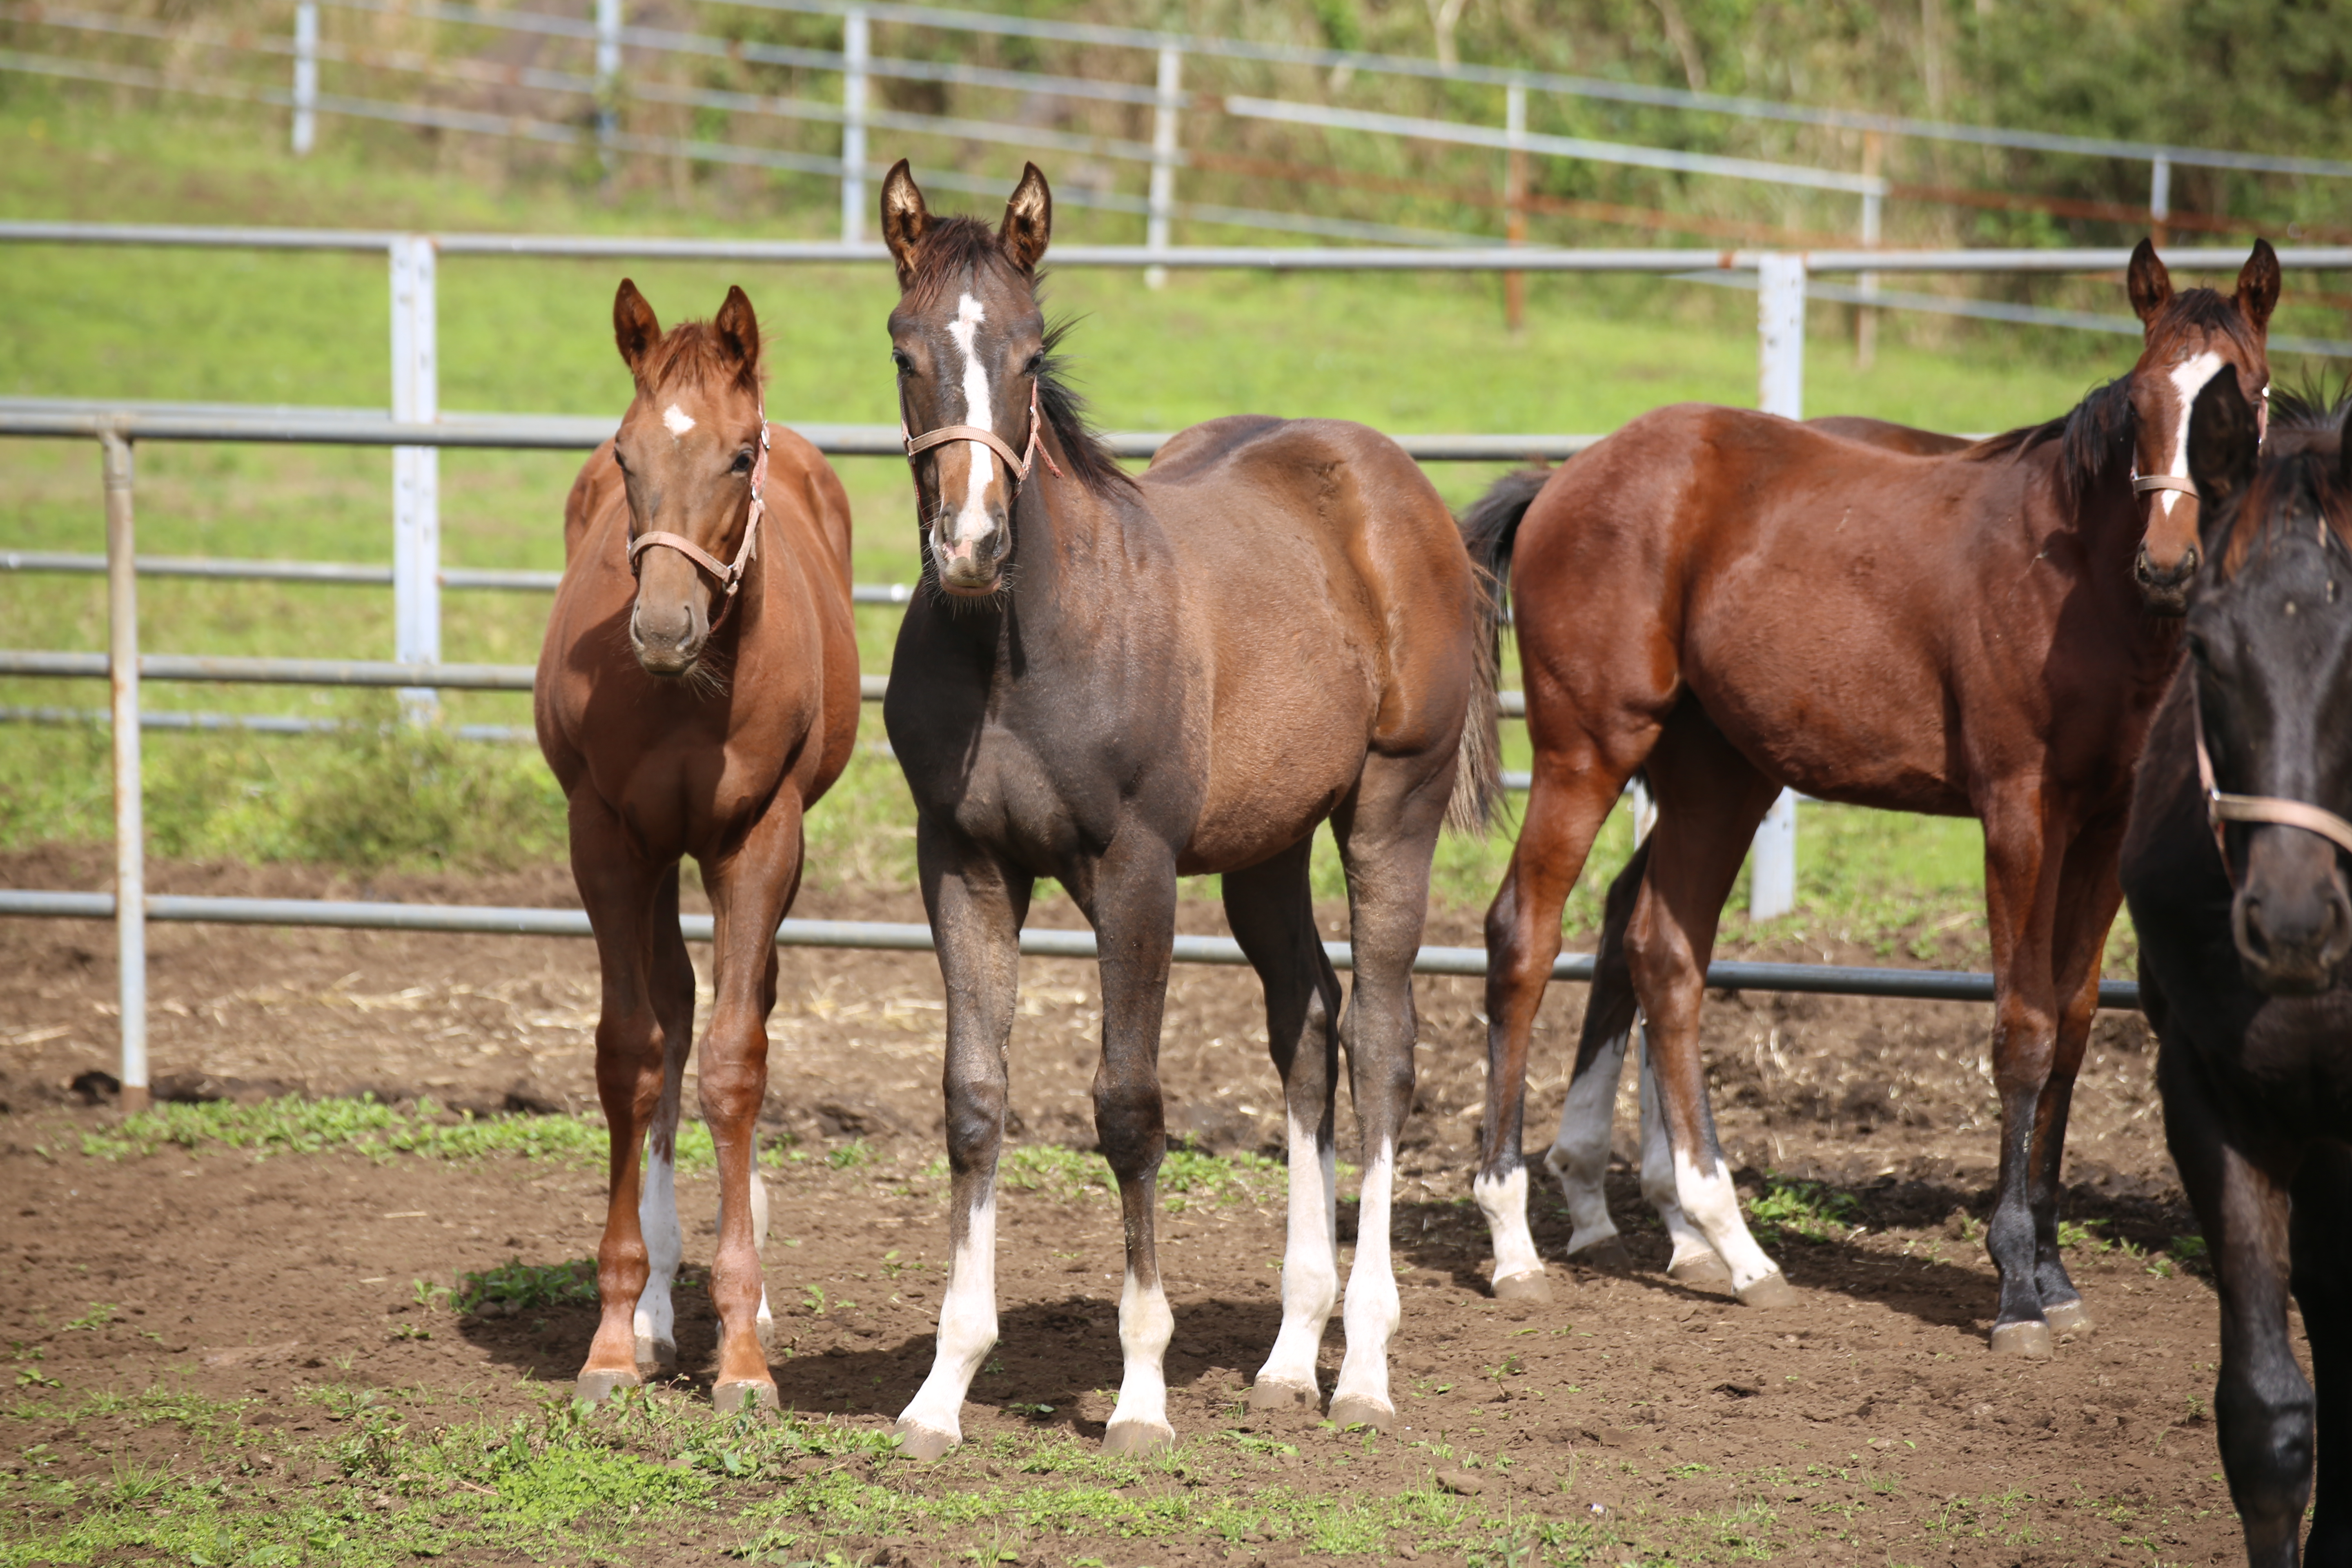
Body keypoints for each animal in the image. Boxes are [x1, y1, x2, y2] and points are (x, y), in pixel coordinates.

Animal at [536, 278, 865, 1410]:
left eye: (736, 454)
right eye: (626, 456)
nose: (663, 627)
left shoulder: (758, 837)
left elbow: (735, 1059)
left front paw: (745, 1352)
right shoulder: (606, 838)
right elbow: (631, 1053)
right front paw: (612, 1334)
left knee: (740, 1005)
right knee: (675, 1010)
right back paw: (652, 1314)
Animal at [875, 162, 1496, 1457]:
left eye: (1026, 352)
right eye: (906, 349)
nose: (972, 543)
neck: (1017, 647)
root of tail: (1402, 491)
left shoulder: (1136, 868)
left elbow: (1127, 1109)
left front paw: (1141, 1396)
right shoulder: (961, 860)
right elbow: (973, 1100)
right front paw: (941, 1391)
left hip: (1388, 812)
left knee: (1381, 1044)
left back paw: (1363, 1368)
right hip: (1267, 845)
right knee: (1305, 1025)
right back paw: (1288, 1356)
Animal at [1468, 240, 2276, 1354]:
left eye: (2246, 397)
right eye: (2146, 396)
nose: (2169, 563)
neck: (2081, 582)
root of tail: (1564, 478)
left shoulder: (2104, 823)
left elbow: (2072, 1025)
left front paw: (2055, 1273)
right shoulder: (2018, 812)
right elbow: (2022, 1027)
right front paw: (2015, 1286)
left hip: (1719, 773)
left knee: (1659, 949)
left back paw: (1727, 1244)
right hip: (1585, 751)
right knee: (1525, 933)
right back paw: (1515, 1241)